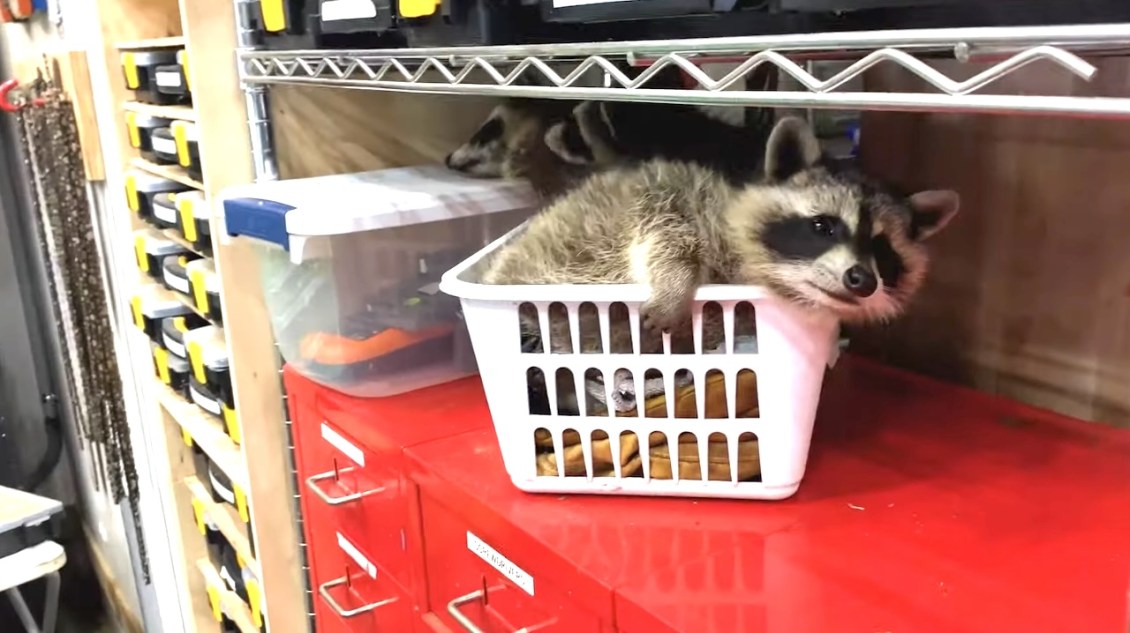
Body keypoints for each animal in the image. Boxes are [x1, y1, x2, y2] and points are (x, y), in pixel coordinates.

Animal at [481, 114, 958, 361]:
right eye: (823, 226)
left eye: (882, 249)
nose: (862, 279)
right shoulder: (672, 197)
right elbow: (666, 236)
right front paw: (675, 283)